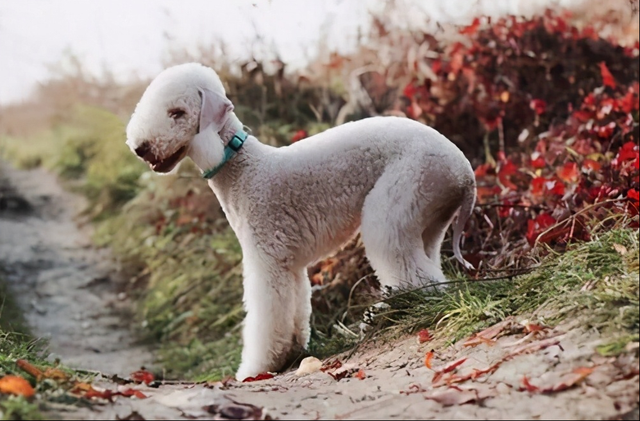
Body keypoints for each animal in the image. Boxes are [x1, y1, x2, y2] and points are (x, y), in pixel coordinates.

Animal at [126, 62, 476, 380]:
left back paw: (388, 315)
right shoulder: (288, 264)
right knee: (430, 271)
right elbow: (294, 309)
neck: (241, 166)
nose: (141, 148)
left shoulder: (266, 260)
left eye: (177, 113)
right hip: (428, 218)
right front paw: (293, 351)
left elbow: (266, 317)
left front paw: (257, 368)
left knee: (417, 278)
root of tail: (465, 172)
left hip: (398, 200)